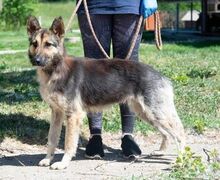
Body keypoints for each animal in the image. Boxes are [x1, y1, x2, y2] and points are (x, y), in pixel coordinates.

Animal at [27, 16, 186, 169]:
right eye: (35, 44)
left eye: (48, 44)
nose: (36, 60)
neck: (55, 70)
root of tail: (161, 76)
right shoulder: (56, 113)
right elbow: (51, 139)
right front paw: (47, 159)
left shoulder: (73, 115)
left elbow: (68, 143)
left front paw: (63, 163)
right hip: (146, 114)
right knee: (167, 133)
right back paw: (161, 152)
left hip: (155, 113)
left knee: (179, 135)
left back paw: (180, 160)